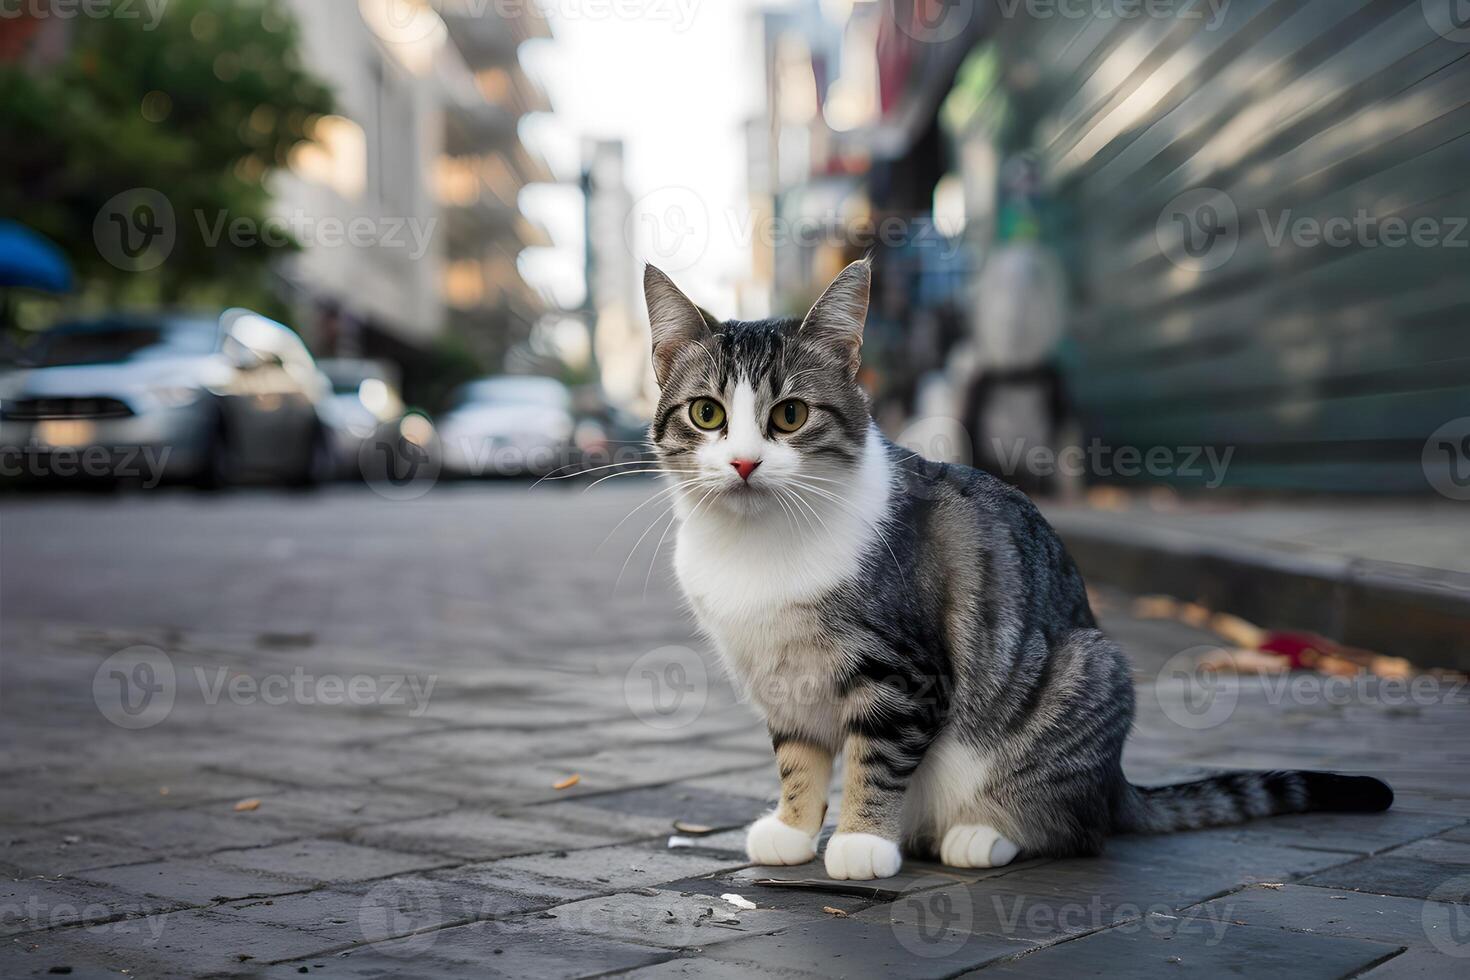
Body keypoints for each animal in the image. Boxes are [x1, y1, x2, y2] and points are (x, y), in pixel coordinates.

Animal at [643, 258, 1387, 881]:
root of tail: (1115, 785)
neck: (755, 547)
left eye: (791, 414)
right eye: (707, 413)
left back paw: (983, 835)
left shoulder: (902, 672)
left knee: (1077, 829)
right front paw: (795, 828)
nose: (744, 463)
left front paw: (860, 841)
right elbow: (798, 757)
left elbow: (874, 761)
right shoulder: (782, 682)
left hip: (1086, 672)